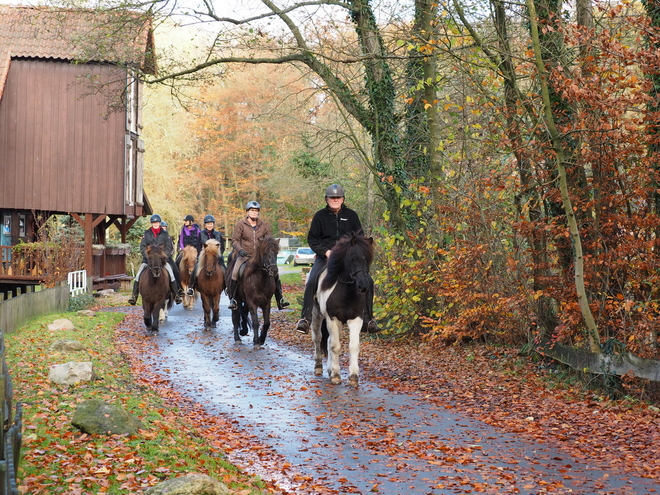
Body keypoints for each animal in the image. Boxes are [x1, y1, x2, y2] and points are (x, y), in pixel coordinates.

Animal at [310, 234, 372, 390]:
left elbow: (353, 346)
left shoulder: (356, 320)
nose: (363, 286)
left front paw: (353, 377)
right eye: (353, 259)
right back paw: (319, 367)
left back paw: (329, 369)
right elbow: (335, 347)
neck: (346, 292)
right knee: (318, 338)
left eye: (367, 259)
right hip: (317, 315)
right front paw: (336, 376)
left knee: (328, 341)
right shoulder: (333, 319)